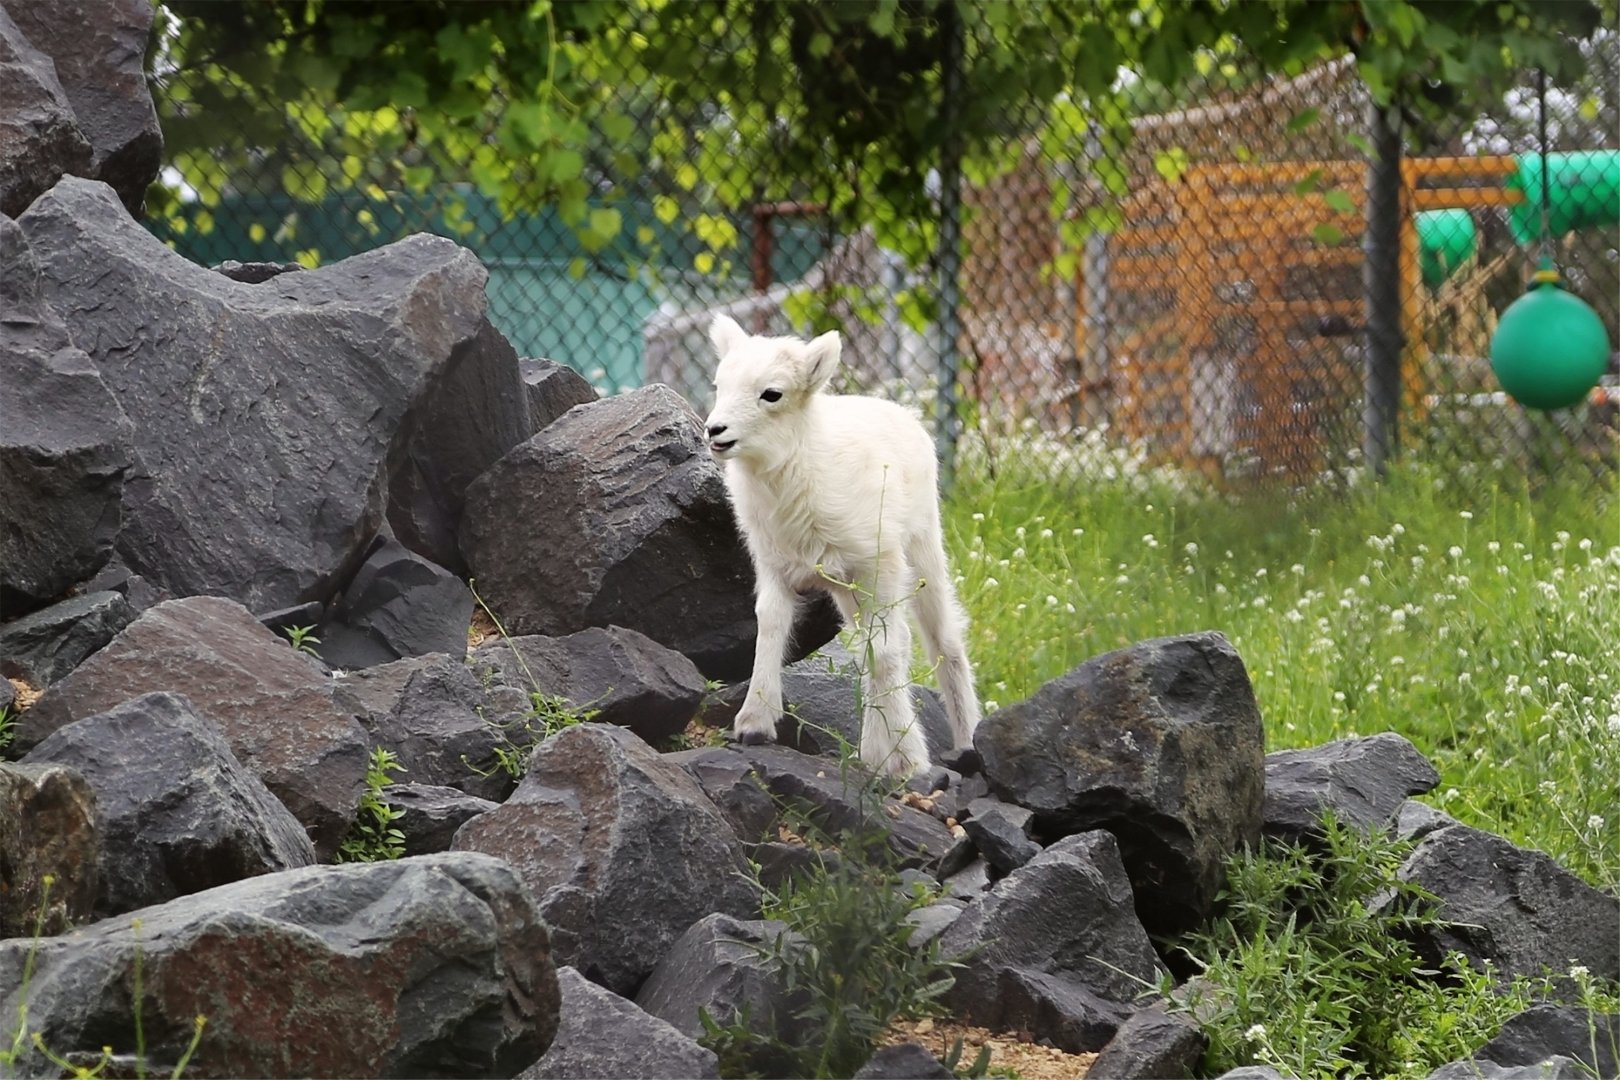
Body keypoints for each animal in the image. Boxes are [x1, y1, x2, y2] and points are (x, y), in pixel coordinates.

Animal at [703, 313, 981, 778]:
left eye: (772, 393)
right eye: (718, 385)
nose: (715, 432)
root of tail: (902, 412)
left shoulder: (879, 565)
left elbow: (886, 650)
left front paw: (907, 761)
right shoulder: (774, 566)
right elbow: (771, 628)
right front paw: (754, 725)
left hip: (921, 549)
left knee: (938, 640)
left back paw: (964, 742)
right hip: (846, 588)